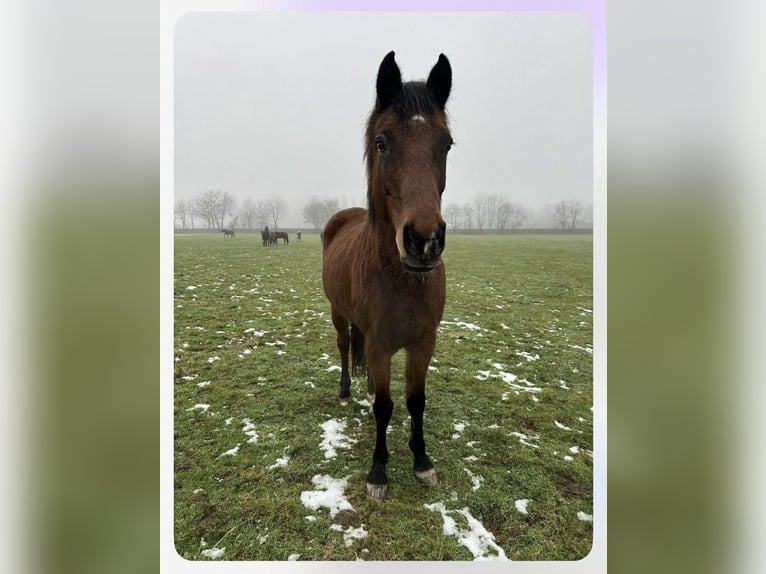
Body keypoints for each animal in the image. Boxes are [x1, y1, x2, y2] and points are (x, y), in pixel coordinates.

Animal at [321, 51, 453, 499]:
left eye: (446, 144)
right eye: (381, 142)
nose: (424, 241)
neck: (402, 281)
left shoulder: (423, 344)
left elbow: (415, 401)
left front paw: (422, 462)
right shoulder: (380, 346)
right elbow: (385, 406)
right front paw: (378, 471)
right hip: (337, 312)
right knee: (346, 347)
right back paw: (347, 391)